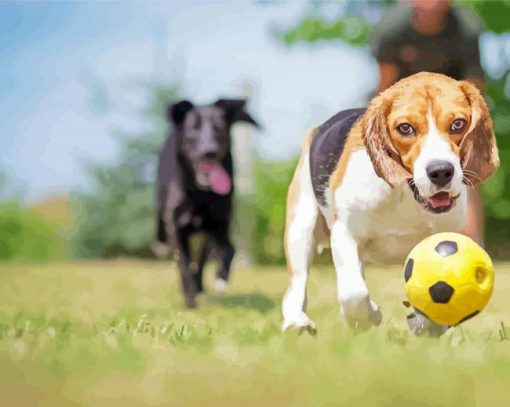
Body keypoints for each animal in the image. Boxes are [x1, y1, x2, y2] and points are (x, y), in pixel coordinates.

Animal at [155, 99, 258, 310]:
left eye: (219, 129)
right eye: (193, 131)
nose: (209, 152)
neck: (200, 193)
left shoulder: (219, 225)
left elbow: (229, 249)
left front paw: (220, 279)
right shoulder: (176, 228)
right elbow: (183, 265)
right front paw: (190, 302)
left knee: (204, 257)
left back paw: (200, 285)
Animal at [282, 71, 498, 336]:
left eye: (458, 124)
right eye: (405, 128)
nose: (440, 172)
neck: (405, 193)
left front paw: (428, 324)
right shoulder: (345, 234)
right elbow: (354, 294)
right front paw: (370, 315)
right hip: (300, 228)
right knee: (297, 283)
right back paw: (296, 321)